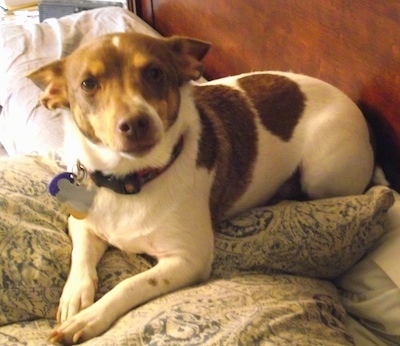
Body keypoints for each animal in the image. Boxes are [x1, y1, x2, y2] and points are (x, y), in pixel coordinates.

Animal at [28, 31, 376, 344]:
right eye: (88, 84)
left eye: (154, 73)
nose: (136, 122)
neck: (131, 180)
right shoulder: (82, 223)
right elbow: (81, 258)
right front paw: (75, 298)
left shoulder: (187, 260)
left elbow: (129, 285)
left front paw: (89, 318)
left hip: (322, 175)